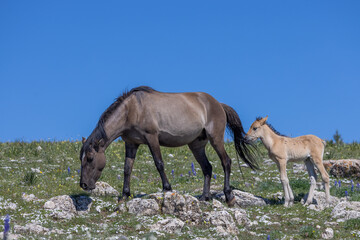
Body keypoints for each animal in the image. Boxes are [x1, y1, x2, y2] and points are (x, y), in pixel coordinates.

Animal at [80, 85, 258, 205]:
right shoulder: (131, 143)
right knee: (207, 168)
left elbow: (159, 163)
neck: (132, 109)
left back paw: (229, 196)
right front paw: (124, 195)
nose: (84, 184)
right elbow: (127, 169)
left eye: (90, 158)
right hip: (196, 145)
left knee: (226, 162)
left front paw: (167, 188)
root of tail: (219, 104)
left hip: (215, 139)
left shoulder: (152, 138)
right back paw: (204, 197)